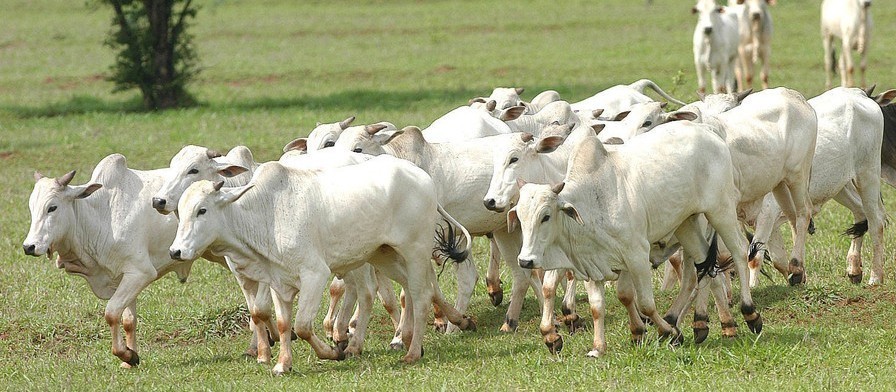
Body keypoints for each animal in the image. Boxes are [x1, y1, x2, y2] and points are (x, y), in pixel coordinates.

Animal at [23, 155, 190, 368]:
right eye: (31, 208)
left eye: (52, 207)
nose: (29, 246)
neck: (102, 217)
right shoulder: (124, 277)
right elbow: (128, 320)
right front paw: (130, 359)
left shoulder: (141, 272)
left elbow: (111, 313)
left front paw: (126, 355)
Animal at [168, 156, 476, 374]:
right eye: (180, 212)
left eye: (202, 210)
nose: (176, 251)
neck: (267, 215)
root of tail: (421, 176)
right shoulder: (278, 282)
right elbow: (283, 324)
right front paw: (282, 364)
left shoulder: (315, 275)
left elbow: (303, 326)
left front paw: (333, 352)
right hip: (384, 255)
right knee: (417, 290)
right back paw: (458, 322)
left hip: (415, 251)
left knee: (421, 296)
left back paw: (412, 352)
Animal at [748, 88, 896, 284]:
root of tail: (859, 93)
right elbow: (777, 259)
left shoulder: (767, 212)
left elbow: (755, 258)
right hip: (840, 185)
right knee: (861, 214)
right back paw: (854, 268)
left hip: (867, 174)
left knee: (876, 221)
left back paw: (875, 277)